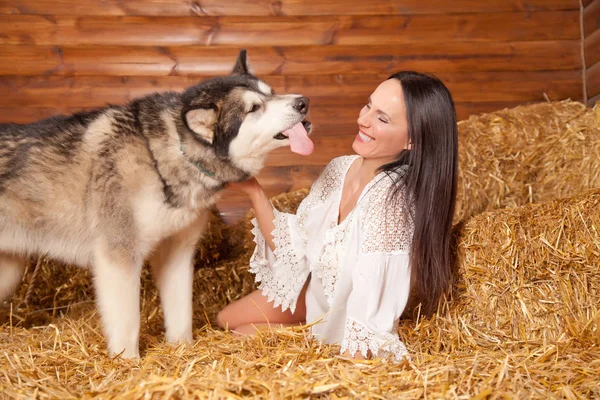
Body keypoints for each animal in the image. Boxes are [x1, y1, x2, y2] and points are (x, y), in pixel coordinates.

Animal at [0, 48, 312, 358]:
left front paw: (182, 351)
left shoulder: (177, 253)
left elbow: (181, 315)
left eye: (271, 93)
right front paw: (128, 363)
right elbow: (128, 324)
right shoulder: (119, 257)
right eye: (254, 108)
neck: (166, 155)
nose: (303, 102)